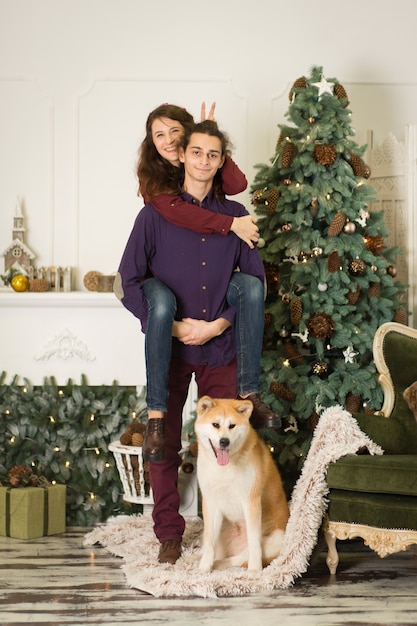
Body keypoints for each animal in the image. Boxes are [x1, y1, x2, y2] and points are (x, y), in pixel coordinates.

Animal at [194, 394, 286, 572]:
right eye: (215, 424)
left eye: (232, 425)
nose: (224, 441)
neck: (223, 469)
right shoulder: (211, 502)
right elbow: (209, 543)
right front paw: (203, 568)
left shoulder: (250, 501)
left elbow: (254, 543)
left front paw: (255, 570)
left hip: (277, 538)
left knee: (239, 558)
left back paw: (222, 564)